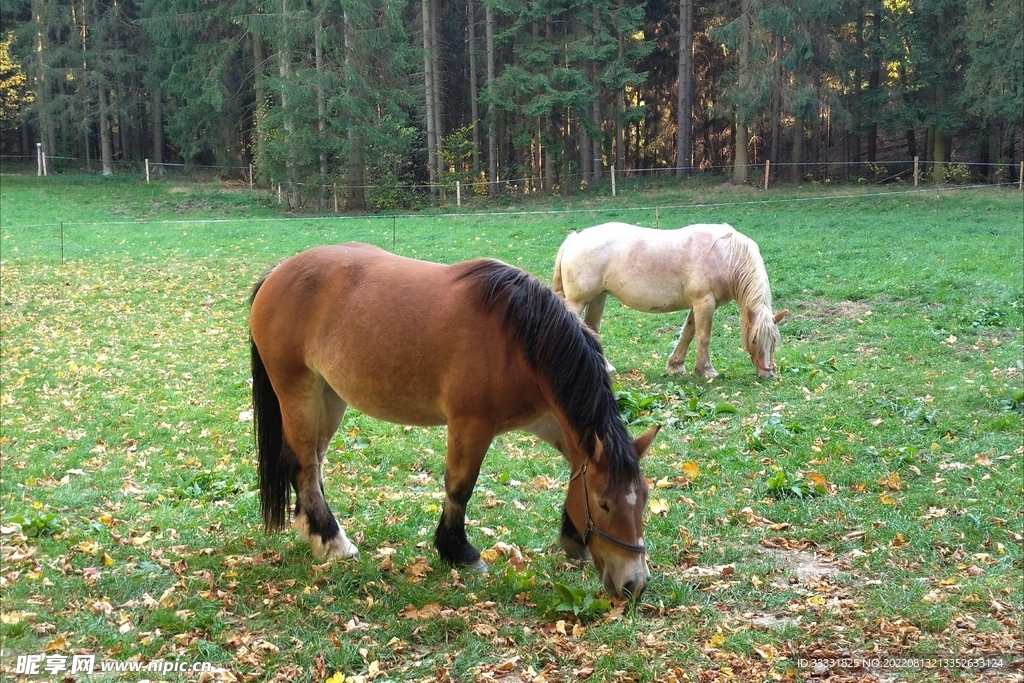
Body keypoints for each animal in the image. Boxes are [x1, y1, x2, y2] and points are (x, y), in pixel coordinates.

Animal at [249, 243, 659, 599]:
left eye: (643, 499)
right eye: (604, 505)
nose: (634, 584)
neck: (518, 341)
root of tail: (277, 274)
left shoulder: (551, 423)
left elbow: (575, 470)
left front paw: (572, 537)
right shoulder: (471, 425)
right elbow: (460, 487)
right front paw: (458, 551)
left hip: (330, 396)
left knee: (314, 462)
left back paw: (314, 528)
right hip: (297, 391)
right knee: (301, 463)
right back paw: (332, 541)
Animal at [552, 223, 787, 379]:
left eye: (774, 342)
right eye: (755, 341)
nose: (767, 374)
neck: (725, 256)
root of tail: (575, 239)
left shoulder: (697, 304)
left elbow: (688, 333)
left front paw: (676, 366)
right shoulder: (705, 302)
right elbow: (703, 337)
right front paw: (707, 370)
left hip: (598, 298)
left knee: (592, 329)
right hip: (577, 301)